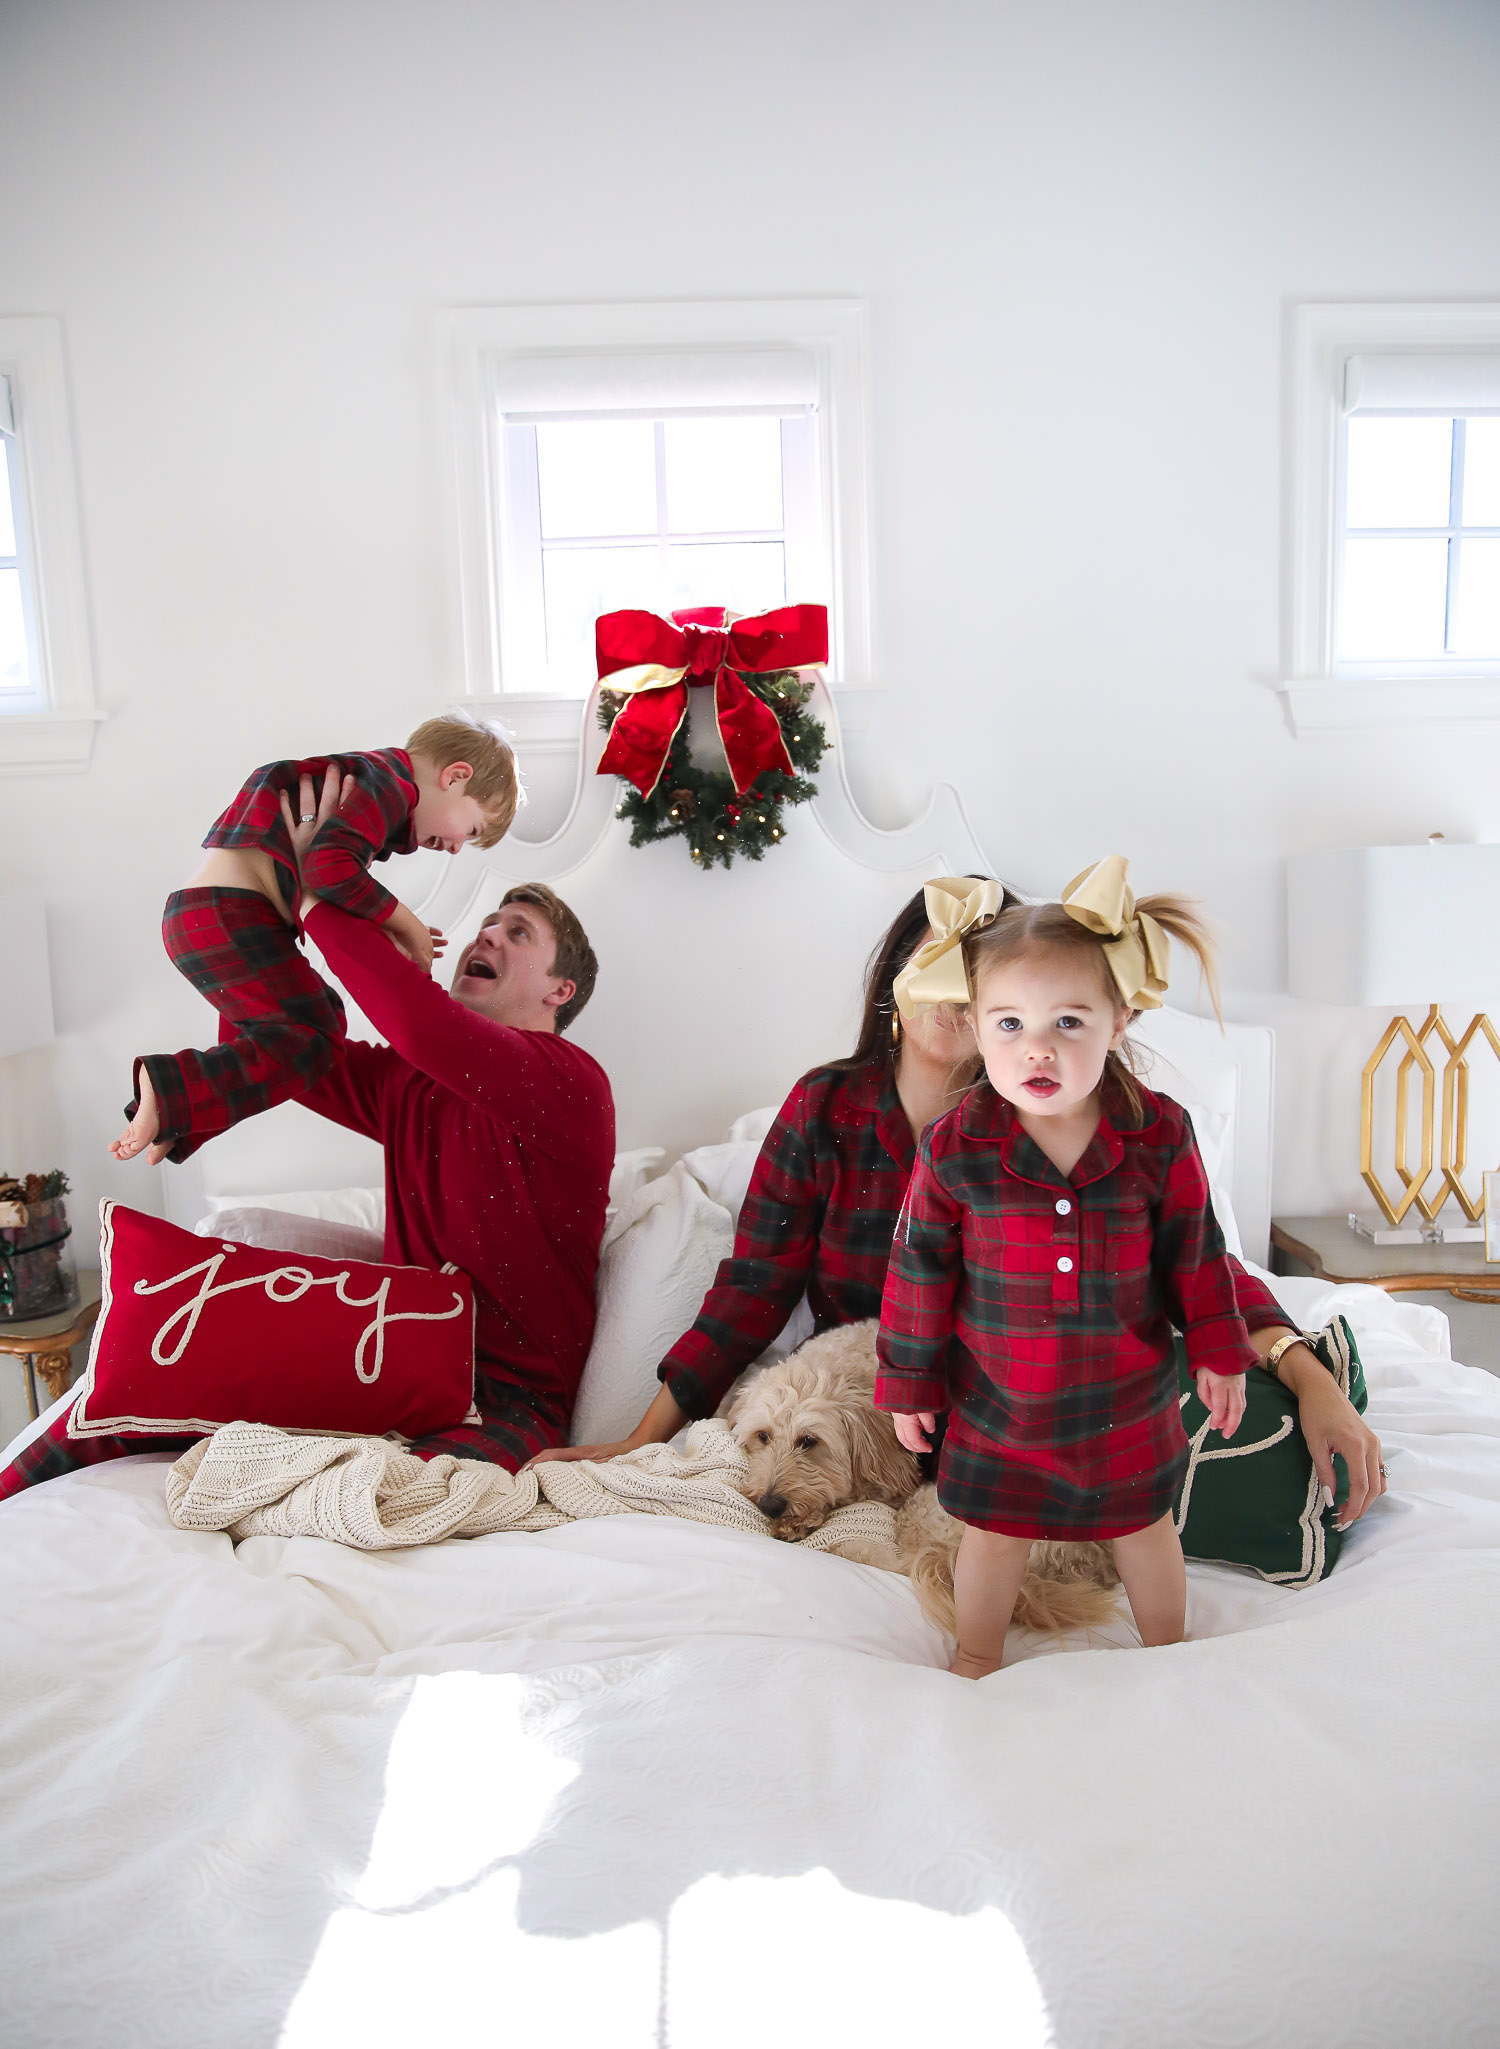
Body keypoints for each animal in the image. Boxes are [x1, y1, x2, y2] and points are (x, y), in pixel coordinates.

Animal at [721, 1319, 1122, 1639]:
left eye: (809, 1441)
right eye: (762, 1436)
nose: (771, 1504)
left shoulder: (897, 1482)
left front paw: (802, 1520)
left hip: (930, 1512)